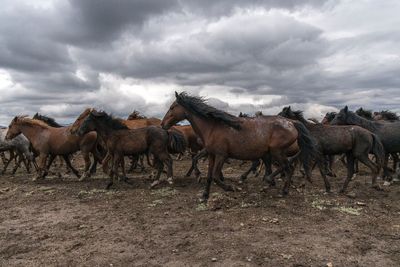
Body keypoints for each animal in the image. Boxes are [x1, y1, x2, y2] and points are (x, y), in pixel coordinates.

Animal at [159, 92, 318, 201]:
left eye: (172, 107)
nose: (162, 124)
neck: (213, 127)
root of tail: (292, 123)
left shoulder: (222, 156)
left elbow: (216, 176)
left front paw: (231, 188)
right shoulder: (211, 155)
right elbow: (209, 176)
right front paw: (204, 196)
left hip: (277, 152)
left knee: (288, 168)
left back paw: (282, 190)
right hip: (273, 153)